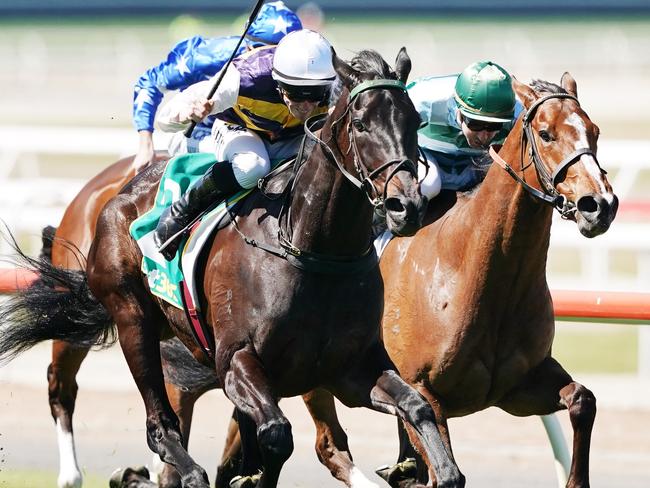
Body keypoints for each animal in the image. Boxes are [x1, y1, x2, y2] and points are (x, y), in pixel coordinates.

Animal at [0, 49, 468, 488]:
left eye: (414, 121)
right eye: (361, 123)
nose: (406, 205)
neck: (310, 250)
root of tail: (124, 190)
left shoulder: (349, 371)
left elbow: (419, 408)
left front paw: (442, 470)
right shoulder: (237, 360)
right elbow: (276, 433)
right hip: (131, 316)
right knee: (154, 421)